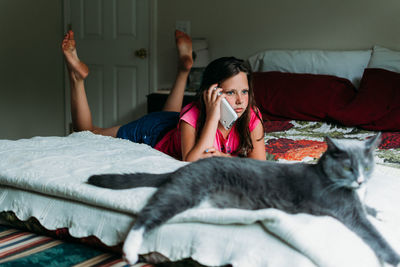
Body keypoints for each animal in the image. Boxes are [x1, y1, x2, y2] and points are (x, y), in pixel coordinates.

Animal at [88, 135, 400, 266]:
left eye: (367, 166)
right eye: (348, 167)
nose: (360, 180)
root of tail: (184, 168)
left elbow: (369, 209)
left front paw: (382, 211)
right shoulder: (347, 211)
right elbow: (373, 234)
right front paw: (393, 257)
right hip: (182, 193)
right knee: (146, 216)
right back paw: (130, 253)